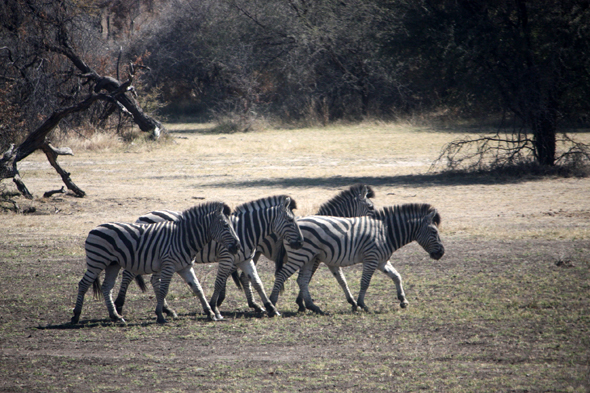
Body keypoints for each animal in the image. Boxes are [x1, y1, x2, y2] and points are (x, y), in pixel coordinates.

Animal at [70, 201, 242, 324]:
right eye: (226, 225)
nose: (238, 245)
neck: (184, 237)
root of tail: (95, 228)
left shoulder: (186, 267)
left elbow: (198, 288)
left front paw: (210, 313)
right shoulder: (169, 265)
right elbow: (163, 290)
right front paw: (160, 315)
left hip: (113, 264)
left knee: (107, 287)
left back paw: (116, 316)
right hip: (97, 261)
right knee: (83, 284)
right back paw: (76, 316)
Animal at [113, 194, 306, 320]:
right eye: (290, 221)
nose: (301, 242)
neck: (245, 230)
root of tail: (142, 216)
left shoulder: (245, 260)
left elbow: (257, 282)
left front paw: (270, 308)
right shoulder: (227, 257)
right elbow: (219, 282)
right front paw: (215, 307)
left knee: (154, 280)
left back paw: (167, 310)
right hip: (145, 254)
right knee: (128, 275)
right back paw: (119, 306)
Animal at [270, 204, 446, 314]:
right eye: (434, 231)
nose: (441, 253)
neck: (386, 233)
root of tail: (297, 222)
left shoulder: (382, 260)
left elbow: (397, 276)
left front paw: (403, 300)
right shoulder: (371, 258)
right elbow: (365, 282)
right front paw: (362, 304)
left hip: (309, 258)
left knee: (302, 280)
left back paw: (314, 307)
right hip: (300, 255)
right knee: (282, 275)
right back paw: (272, 302)